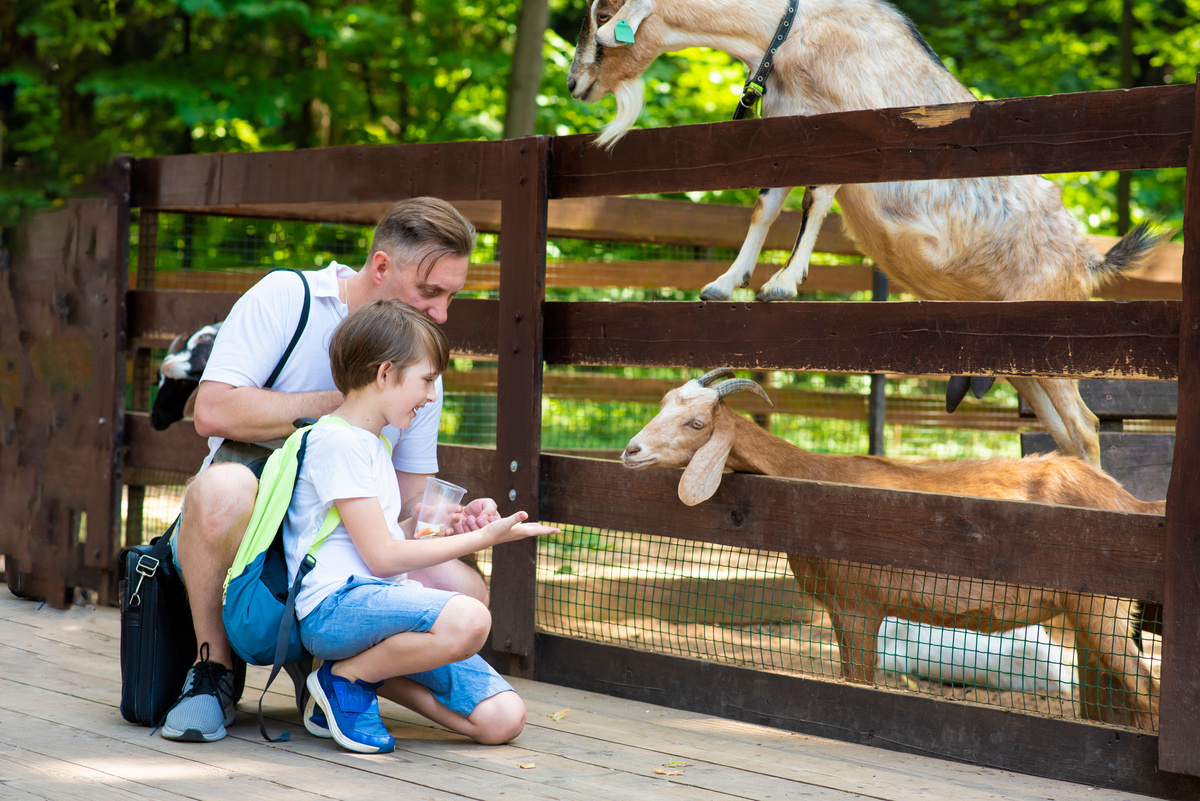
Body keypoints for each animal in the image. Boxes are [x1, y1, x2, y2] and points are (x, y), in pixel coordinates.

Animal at [566, 1, 1166, 470]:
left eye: (603, 16)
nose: (574, 84)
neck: (790, 31)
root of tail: (1085, 259)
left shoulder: (844, 127)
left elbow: (816, 198)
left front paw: (782, 285)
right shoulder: (786, 130)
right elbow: (766, 205)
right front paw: (725, 283)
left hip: (1055, 335)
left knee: (1086, 427)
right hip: (1024, 362)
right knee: (1064, 433)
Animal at [628, 371, 1161, 733]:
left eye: (696, 422)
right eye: (661, 406)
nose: (631, 451)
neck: (819, 481)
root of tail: (1129, 502)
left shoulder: (858, 606)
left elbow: (861, 683)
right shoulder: (845, 612)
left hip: (1102, 611)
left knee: (1148, 692)